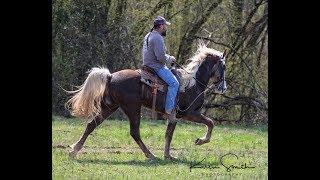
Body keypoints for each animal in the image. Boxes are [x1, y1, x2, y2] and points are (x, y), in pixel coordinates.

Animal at [65, 43, 226, 160]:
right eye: (223, 66)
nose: (223, 88)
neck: (192, 83)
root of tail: (110, 76)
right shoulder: (189, 113)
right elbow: (211, 123)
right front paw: (200, 141)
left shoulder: (174, 117)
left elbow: (169, 134)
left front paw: (168, 155)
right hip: (133, 109)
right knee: (134, 132)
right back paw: (150, 154)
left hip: (109, 107)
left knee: (91, 125)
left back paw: (74, 151)